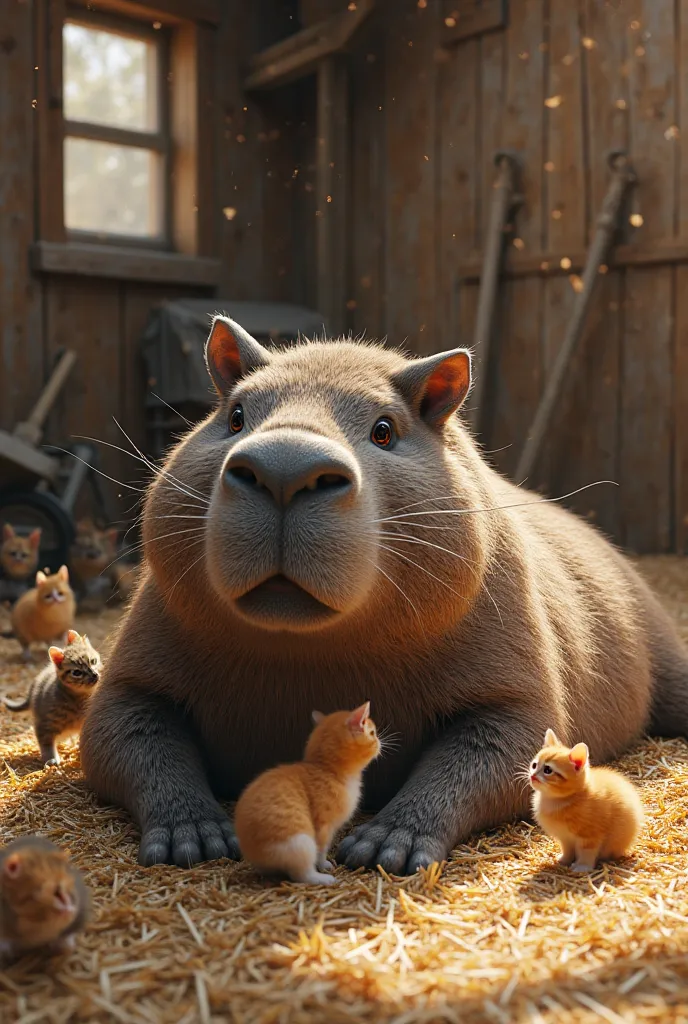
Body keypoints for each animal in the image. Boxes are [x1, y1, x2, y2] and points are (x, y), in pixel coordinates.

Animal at [2, 626, 102, 765]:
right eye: (77, 672)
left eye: (93, 661)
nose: (94, 675)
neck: (79, 699)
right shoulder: (44, 724)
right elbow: (46, 743)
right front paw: (51, 758)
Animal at [233, 700, 378, 884]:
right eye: (372, 733)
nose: (379, 742)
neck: (325, 769)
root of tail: (254, 853)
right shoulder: (323, 827)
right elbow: (322, 850)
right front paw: (324, 864)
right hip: (301, 842)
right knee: (301, 874)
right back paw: (323, 879)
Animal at [528, 729, 647, 872]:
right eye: (534, 765)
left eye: (547, 770)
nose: (533, 776)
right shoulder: (565, 837)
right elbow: (567, 849)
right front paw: (564, 860)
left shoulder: (590, 835)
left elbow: (587, 852)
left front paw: (582, 867)